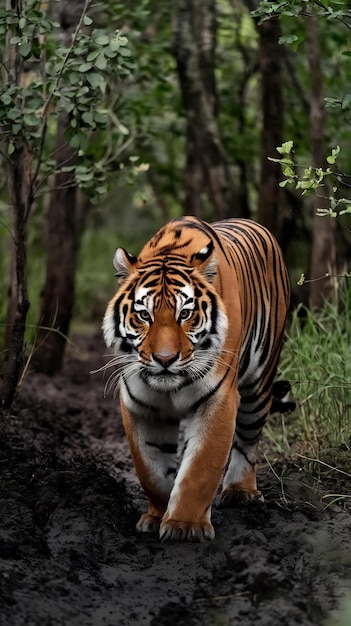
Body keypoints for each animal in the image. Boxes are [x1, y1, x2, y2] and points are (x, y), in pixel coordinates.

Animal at [102, 214, 292, 540]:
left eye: (185, 314)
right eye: (144, 315)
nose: (165, 360)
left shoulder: (217, 398)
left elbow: (200, 468)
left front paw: (184, 525)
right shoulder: (140, 405)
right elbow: (150, 468)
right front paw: (157, 516)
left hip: (259, 381)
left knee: (248, 438)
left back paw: (240, 491)